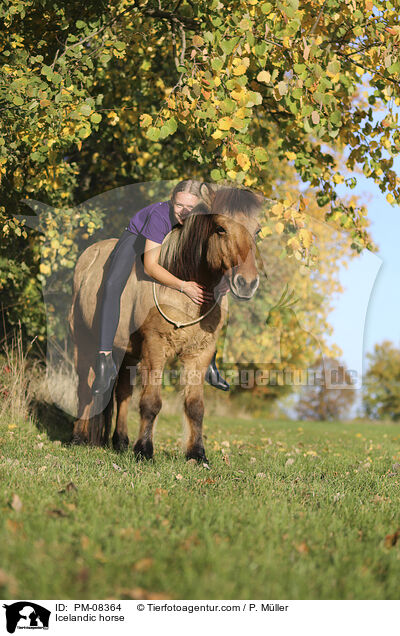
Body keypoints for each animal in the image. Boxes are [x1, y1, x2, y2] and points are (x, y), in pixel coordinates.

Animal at [68, 188, 262, 462]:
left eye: (257, 231)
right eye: (220, 229)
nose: (247, 283)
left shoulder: (198, 355)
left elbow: (195, 407)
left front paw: (197, 454)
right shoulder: (155, 348)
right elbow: (151, 403)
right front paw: (144, 450)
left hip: (127, 353)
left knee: (122, 394)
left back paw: (120, 442)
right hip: (83, 343)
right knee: (85, 388)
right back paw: (78, 437)